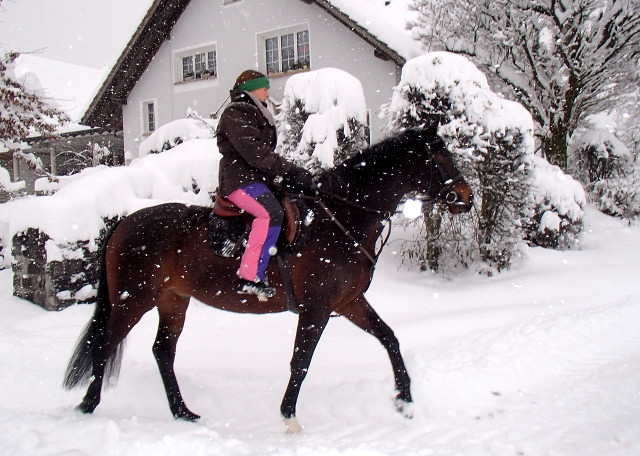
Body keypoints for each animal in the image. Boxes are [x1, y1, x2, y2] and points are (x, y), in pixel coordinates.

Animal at [62, 127, 472, 432]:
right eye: (439, 158)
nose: (465, 198)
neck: (340, 218)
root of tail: (123, 222)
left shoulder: (349, 303)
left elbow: (390, 338)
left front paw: (405, 399)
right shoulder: (317, 309)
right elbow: (301, 361)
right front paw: (289, 416)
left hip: (173, 301)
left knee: (162, 351)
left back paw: (182, 412)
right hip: (134, 299)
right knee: (103, 345)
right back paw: (88, 405)